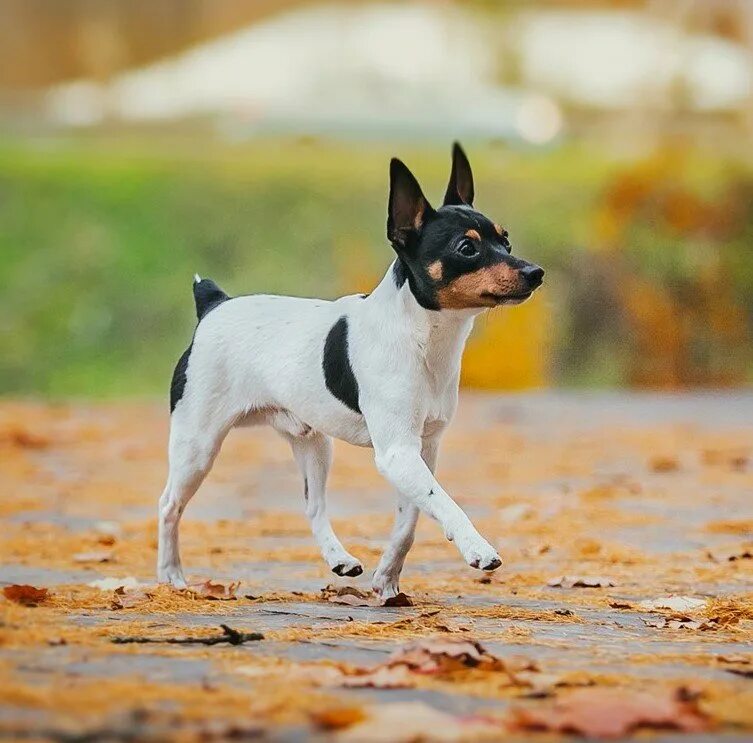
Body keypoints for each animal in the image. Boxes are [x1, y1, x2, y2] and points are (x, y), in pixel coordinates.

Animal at [159, 144, 544, 600]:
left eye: (505, 240)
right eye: (467, 248)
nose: (535, 272)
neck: (422, 338)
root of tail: (214, 304)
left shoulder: (420, 451)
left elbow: (411, 520)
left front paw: (388, 581)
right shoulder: (398, 453)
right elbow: (445, 503)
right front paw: (476, 547)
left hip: (313, 445)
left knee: (312, 506)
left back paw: (339, 559)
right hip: (197, 445)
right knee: (169, 505)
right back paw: (171, 575)